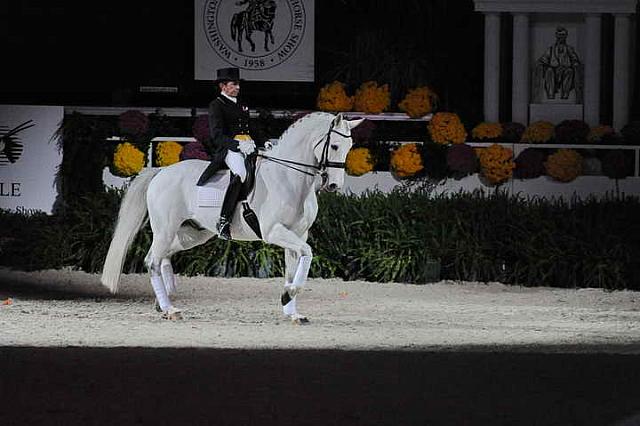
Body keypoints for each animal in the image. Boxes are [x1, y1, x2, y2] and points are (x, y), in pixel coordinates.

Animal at [100, 113, 360, 322]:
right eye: (334, 146)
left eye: (349, 146)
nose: (334, 185)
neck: (289, 178)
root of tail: (161, 171)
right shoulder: (274, 231)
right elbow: (308, 252)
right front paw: (289, 295)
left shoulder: (297, 234)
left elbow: (295, 265)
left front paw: (292, 310)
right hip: (166, 229)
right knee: (152, 260)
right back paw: (170, 309)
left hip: (193, 234)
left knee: (161, 255)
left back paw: (164, 300)